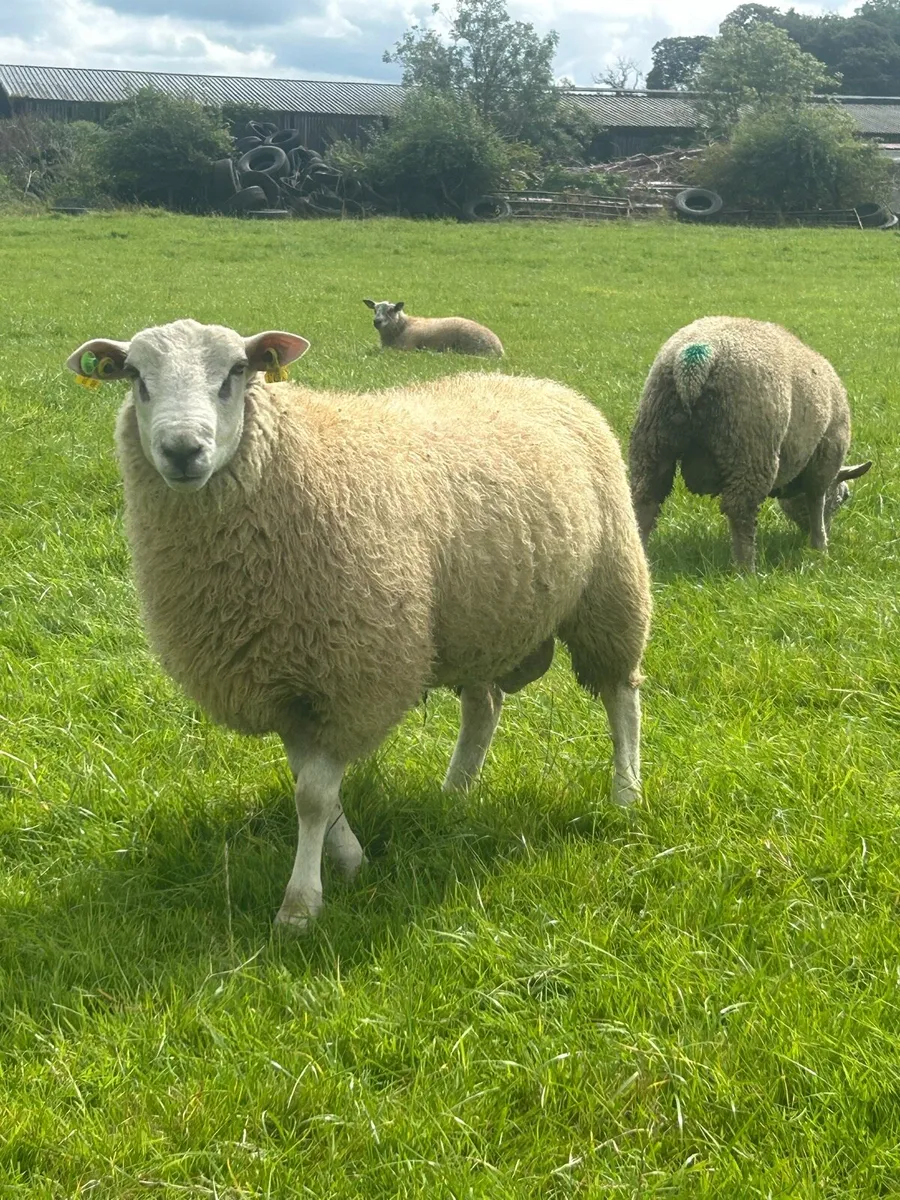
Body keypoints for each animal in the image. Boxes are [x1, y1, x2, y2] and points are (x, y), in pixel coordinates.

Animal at [67, 318, 650, 931]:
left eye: (238, 371)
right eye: (134, 375)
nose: (183, 451)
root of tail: (542, 384)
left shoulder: (351, 675)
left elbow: (313, 798)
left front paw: (300, 906)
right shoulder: (286, 683)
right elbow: (313, 790)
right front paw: (351, 861)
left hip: (610, 590)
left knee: (621, 697)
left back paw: (625, 794)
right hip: (477, 621)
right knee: (483, 708)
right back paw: (453, 795)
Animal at [363, 298, 504, 356]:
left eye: (391, 310)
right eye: (374, 309)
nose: (377, 321)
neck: (402, 326)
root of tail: (499, 349)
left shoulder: (407, 347)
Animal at [629, 316, 872, 571]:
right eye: (844, 497)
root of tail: (694, 361)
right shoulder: (827, 454)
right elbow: (816, 501)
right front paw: (820, 547)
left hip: (653, 439)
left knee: (644, 502)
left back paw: (641, 558)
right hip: (749, 447)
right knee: (740, 509)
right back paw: (747, 570)